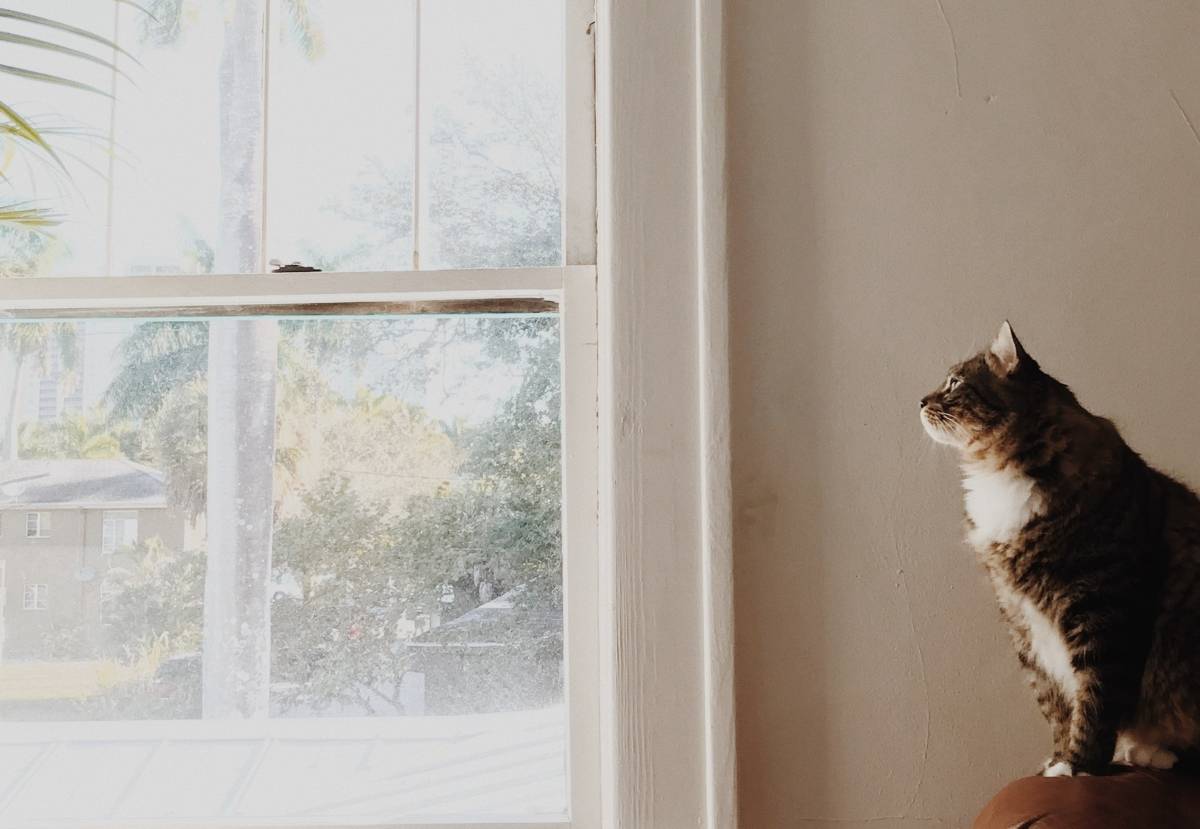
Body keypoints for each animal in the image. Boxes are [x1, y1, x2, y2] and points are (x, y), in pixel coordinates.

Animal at [916, 321, 1200, 777]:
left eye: (955, 383)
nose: (920, 401)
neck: (1001, 473)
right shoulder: (1022, 620)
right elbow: (1054, 703)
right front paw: (1058, 758)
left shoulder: (1102, 608)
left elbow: (1096, 699)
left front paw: (1079, 766)